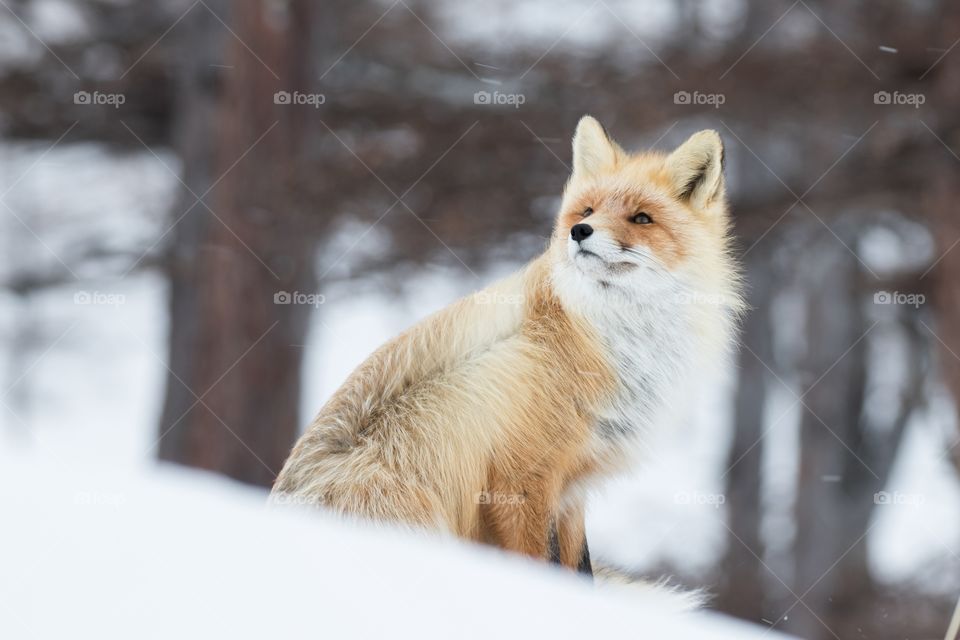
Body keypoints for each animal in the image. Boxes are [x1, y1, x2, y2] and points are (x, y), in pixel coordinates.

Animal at [272, 115, 743, 575]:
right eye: (588, 210)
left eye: (642, 218)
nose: (580, 231)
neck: (601, 339)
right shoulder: (520, 482)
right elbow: (540, 564)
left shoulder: (572, 487)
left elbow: (580, 568)